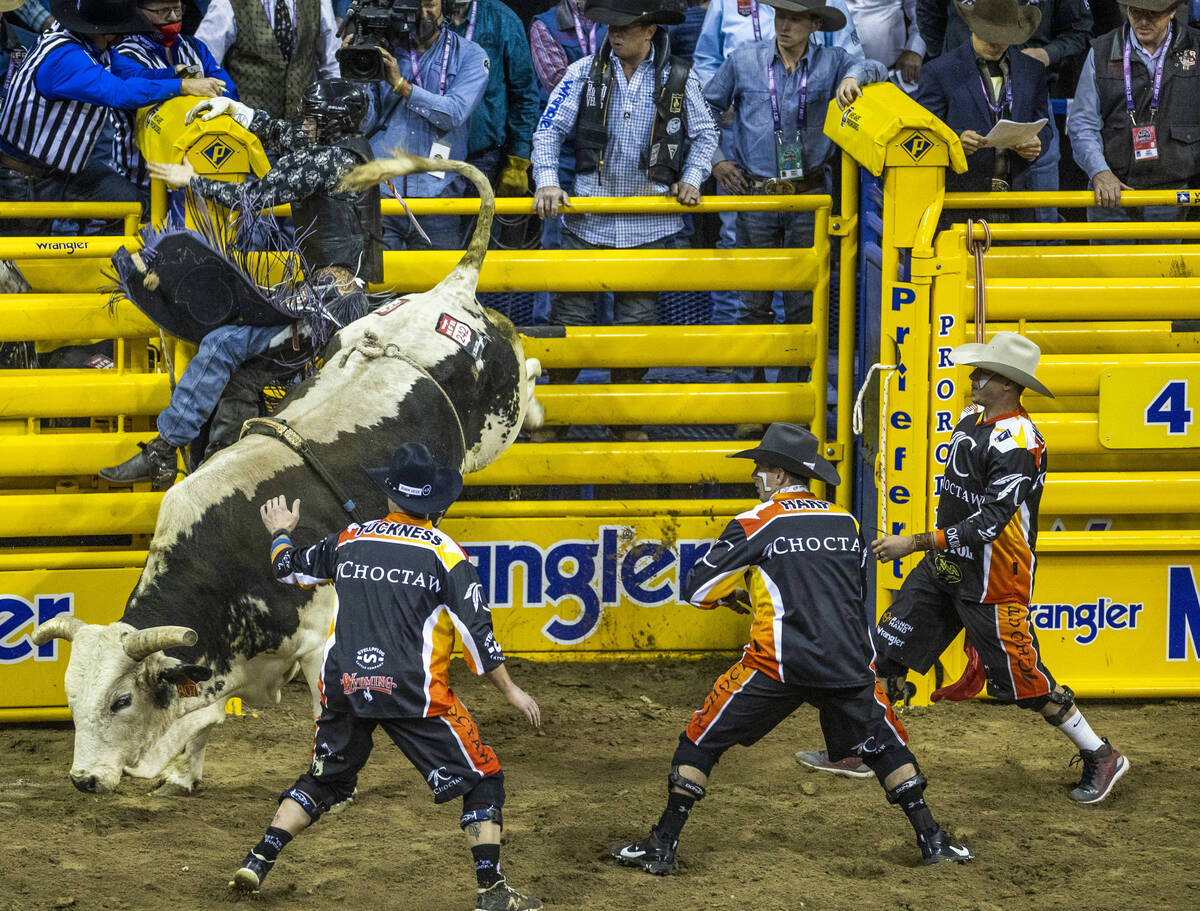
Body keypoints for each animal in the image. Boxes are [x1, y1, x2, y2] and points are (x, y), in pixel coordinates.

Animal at [31, 153, 549, 796]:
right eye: (72, 696)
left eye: (121, 701)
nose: (83, 779)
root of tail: (454, 290)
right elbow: (203, 722)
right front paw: (182, 774)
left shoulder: (317, 639)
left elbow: (325, 706)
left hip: (498, 420)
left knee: (530, 372)